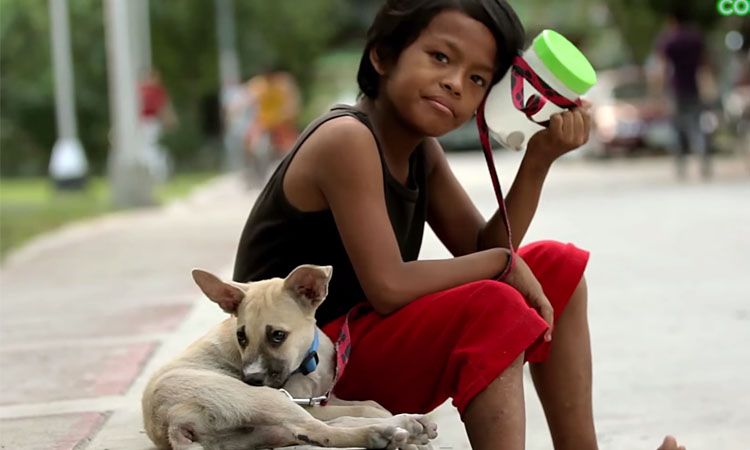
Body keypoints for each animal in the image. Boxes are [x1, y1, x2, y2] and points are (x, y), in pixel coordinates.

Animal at [142, 266, 438, 448]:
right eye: (241, 336)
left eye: (277, 335)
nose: (251, 379)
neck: (308, 362)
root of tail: (169, 421)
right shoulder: (307, 403)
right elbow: (365, 407)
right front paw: (389, 417)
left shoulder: (321, 398)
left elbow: (365, 403)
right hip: (267, 400)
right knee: (326, 430)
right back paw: (392, 430)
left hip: (259, 434)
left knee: (318, 430)